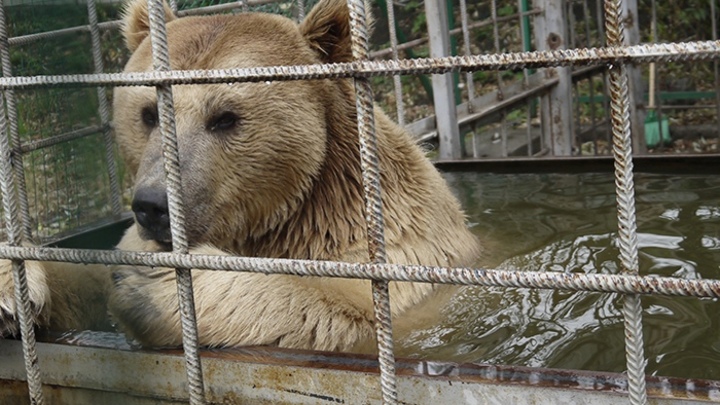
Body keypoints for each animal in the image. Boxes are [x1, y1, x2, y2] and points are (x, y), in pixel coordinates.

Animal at [1, 0, 484, 352]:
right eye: (148, 112)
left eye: (225, 117)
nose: (152, 205)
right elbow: (84, 283)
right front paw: (13, 288)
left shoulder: (393, 245)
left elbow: (346, 311)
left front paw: (150, 280)